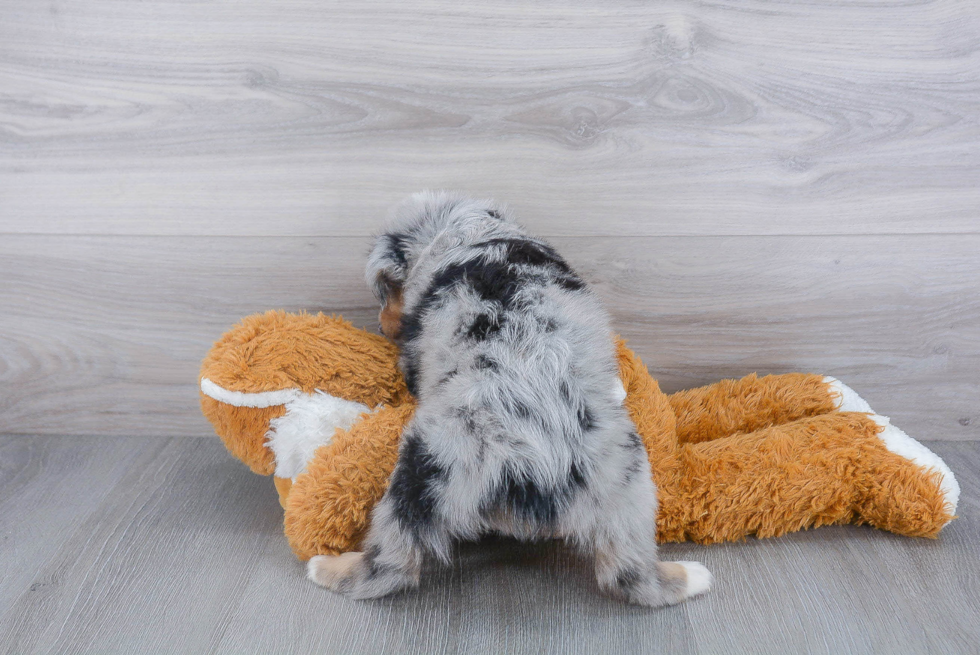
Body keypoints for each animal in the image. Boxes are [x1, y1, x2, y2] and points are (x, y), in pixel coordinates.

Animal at [308, 191, 712, 608]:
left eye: (388, 289)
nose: (380, 325)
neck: (460, 229)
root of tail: (526, 457)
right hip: (626, 476)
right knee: (631, 575)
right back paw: (693, 576)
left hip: (424, 471)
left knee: (388, 567)